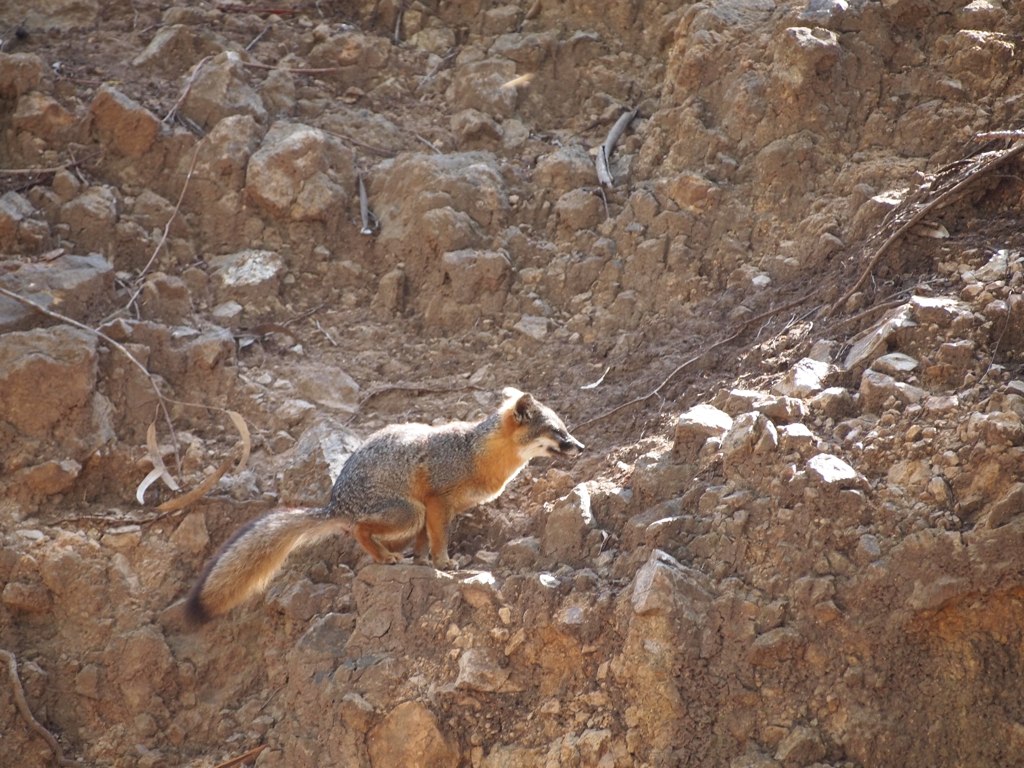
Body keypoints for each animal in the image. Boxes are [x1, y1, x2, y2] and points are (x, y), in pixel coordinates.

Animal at [185, 388, 584, 623]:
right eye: (558, 432)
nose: (580, 447)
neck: (475, 453)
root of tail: (334, 504)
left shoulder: (440, 511)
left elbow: (426, 543)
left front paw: (423, 562)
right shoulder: (434, 504)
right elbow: (439, 540)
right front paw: (445, 564)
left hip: (409, 516)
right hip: (407, 513)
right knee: (360, 529)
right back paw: (383, 557)